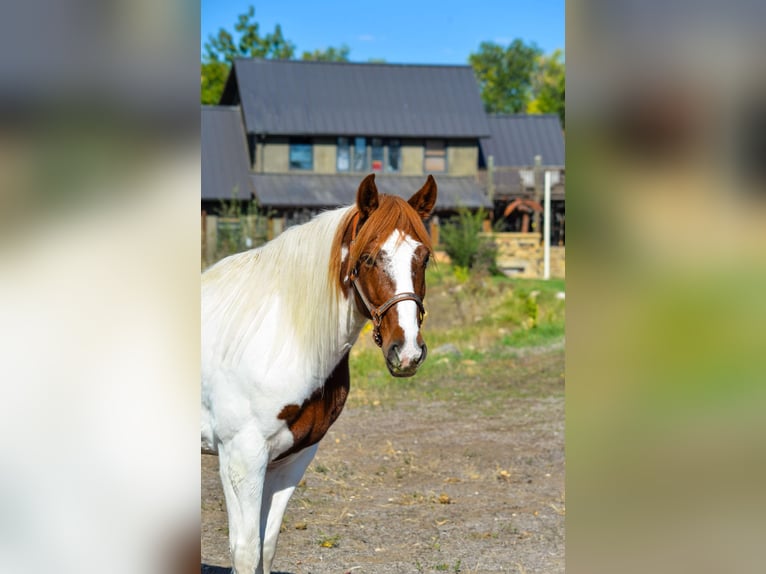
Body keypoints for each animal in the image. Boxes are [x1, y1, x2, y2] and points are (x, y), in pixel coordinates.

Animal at [201, 173, 438, 572]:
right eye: (368, 258)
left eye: (424, 258)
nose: (406, 351)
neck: (281, 335)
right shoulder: (241, 458)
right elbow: (245, 551)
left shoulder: (292, 458)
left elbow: (266, 546)